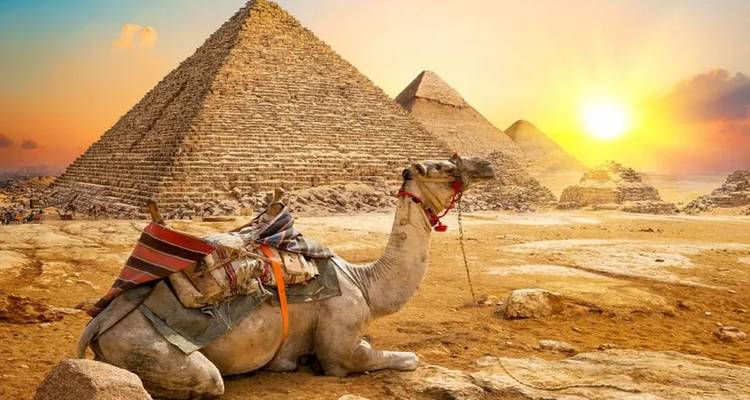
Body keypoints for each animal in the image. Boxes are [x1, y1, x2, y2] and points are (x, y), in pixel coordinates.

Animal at [78, 155, 494, 399]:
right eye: (446, 168)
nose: (487, 166)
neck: (366, 283)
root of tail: (99, 321)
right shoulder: (341, 348)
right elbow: (407, 359)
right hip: (151, 350)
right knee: (208, 382)